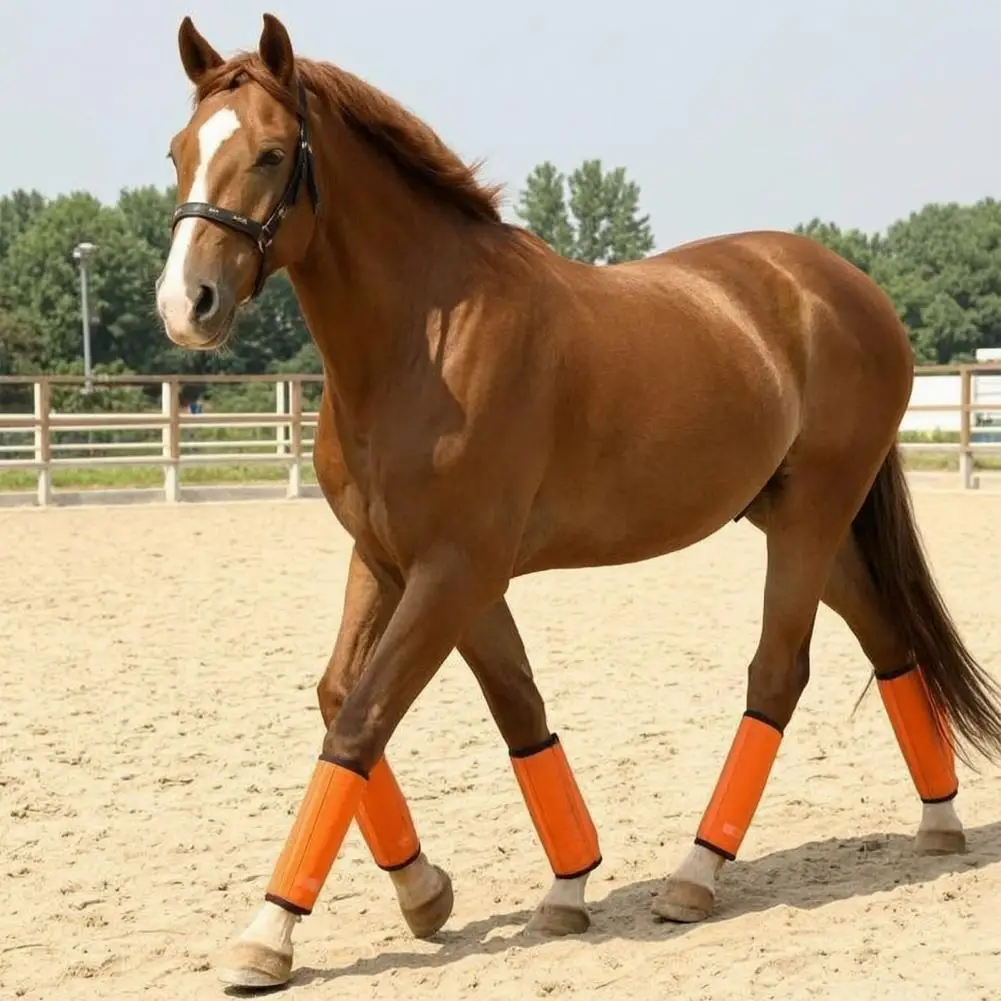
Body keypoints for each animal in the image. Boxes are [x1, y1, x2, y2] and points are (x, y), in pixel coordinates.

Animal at [156, 12, 1001, 991]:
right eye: (179, 150)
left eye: (268, 152)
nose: (185, 303)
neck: (426, 339)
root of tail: (845, 287)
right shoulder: (400, 562)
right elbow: (449, 704)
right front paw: (470, 891)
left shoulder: (454, 569)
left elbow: (363, 720)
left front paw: (270, 930)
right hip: (797, 520)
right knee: (887, 640)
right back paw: (938, 822)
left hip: (809, 518)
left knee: (777, 675)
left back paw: (695, 874)